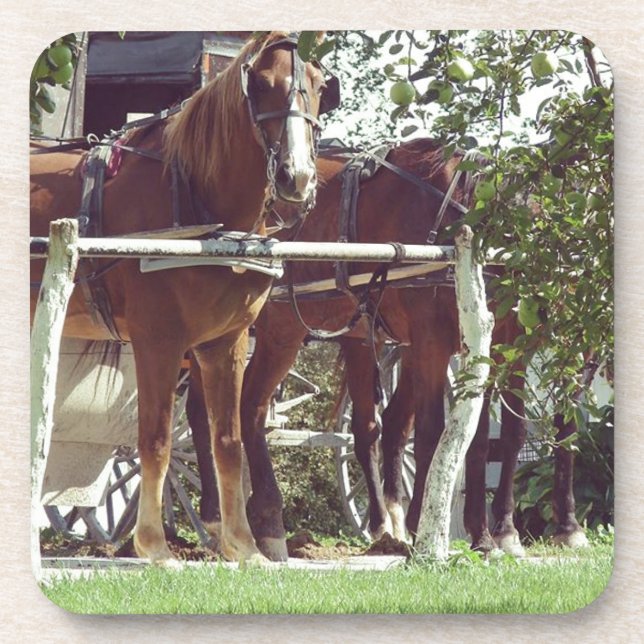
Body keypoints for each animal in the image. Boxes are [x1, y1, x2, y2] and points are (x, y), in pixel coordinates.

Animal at [30, 31, 335, 566]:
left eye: (319, 87)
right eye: (261, 83)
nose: (296, 178)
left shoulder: (225, 343)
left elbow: (227, 439)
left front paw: (244, 546)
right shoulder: (158, 340)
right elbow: (155, 438)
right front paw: (153, 546)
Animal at [188, 137, 590, 560]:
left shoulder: (504, 347)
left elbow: (503, 435)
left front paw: (508, 532)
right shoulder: (435, 341)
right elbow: (438, 433)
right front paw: (443, 529)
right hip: (279, 332)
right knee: (248, 408)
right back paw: (263, 519)